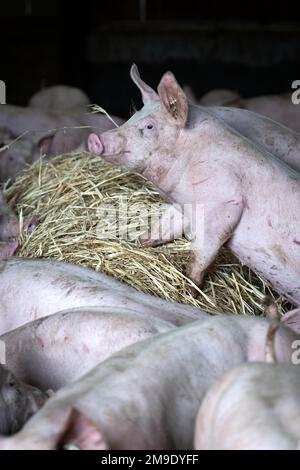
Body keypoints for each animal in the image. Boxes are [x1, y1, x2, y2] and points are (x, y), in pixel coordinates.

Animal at [87, 67, 300, 308]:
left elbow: (201, 253)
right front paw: (139, 241)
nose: (94, 138)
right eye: (131, 116)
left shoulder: (224, 205)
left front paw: (189, 291)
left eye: (149, 126)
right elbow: (164, 226)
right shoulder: (184, 205)